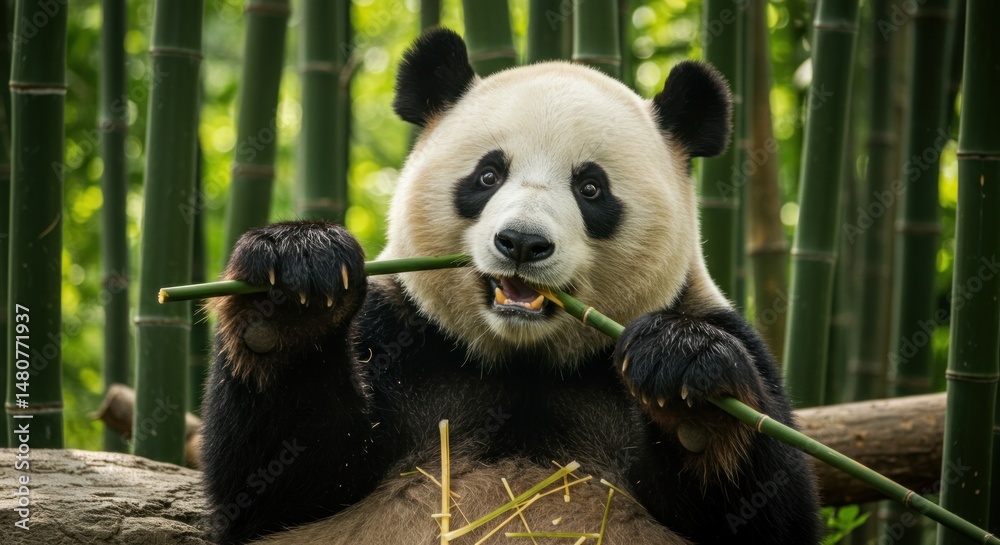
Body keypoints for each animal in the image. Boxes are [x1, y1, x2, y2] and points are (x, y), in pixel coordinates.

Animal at [201, 28, 821, 545]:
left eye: (591, 188)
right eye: (487, 175)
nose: (522, 242)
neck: (524, 360)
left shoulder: (728, 335)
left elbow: (770, 512)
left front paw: (686, 379)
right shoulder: (401, 329)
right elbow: (280, 478)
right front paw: (292, 284)